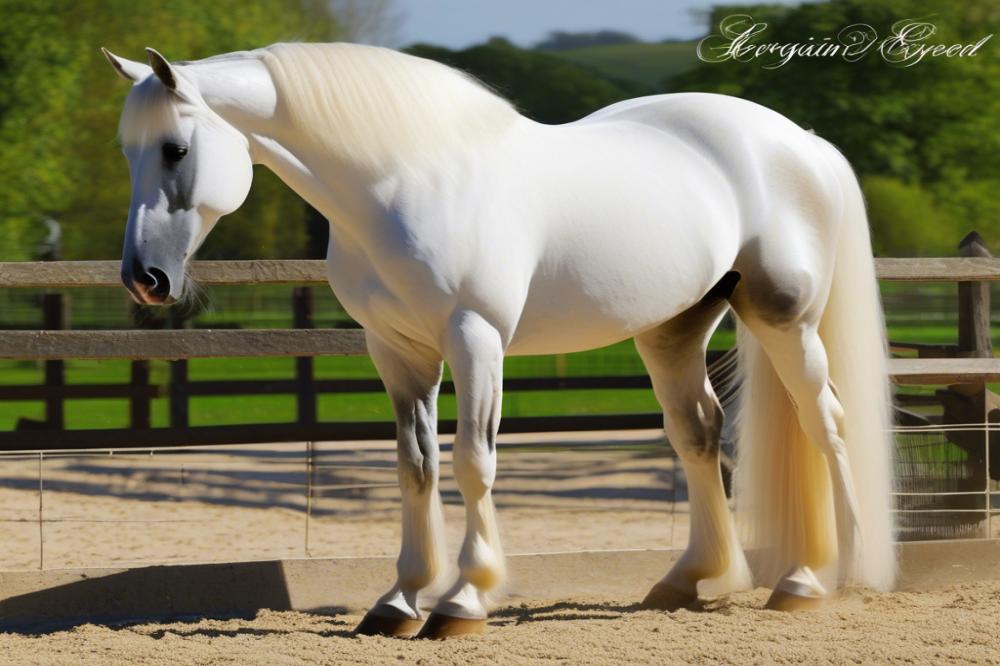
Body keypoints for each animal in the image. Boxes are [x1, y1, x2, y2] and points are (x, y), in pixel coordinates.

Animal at [103, 42, 900, 640]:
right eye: (127, 152)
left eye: (175, 148)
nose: (144, 279)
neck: (405, 181)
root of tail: (802, 143)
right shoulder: (396, 352)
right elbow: (415, 467)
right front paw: (398, 601)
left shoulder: (475, 340)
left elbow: (472, 464)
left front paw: (462, 601)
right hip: (672, 329)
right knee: (698, 432)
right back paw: (693, 580)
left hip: (785, 319)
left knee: (827, 423)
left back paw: (820, 579)